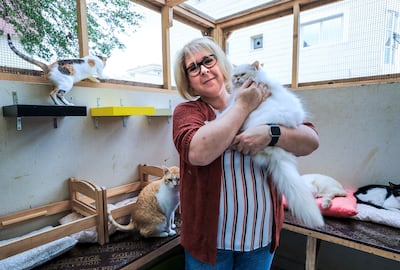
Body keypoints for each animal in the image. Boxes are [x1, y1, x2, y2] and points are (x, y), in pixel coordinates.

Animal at [225, 61, 324, 228]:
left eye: (243, 74)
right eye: (235, 75)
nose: (237, 79)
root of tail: (279, 154)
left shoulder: (234, 104)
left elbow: (223, 113)